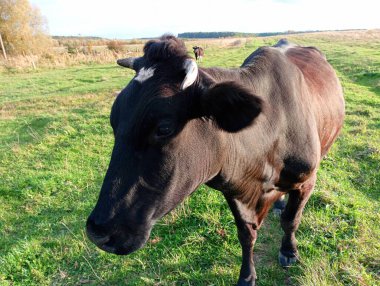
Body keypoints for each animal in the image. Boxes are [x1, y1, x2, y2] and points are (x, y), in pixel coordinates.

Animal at [86, 34, 344, 284]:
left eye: (164, 128)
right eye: (113, 120)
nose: (98, 232)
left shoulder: (306, 181)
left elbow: (291, 220)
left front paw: (289, 252)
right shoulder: (233, 188)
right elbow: (246, 235)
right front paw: (247, 276)